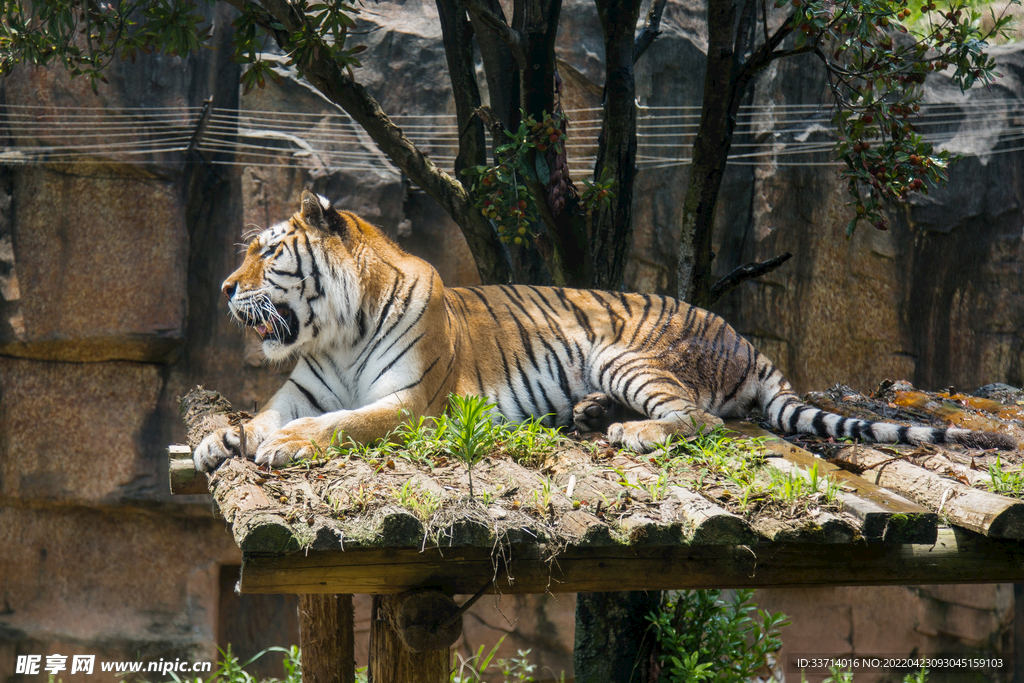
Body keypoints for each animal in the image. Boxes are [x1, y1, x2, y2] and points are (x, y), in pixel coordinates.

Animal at [192, 191, 1017, 473]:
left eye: (266, 252)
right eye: (245, 252)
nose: (224, 287)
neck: (334, 330)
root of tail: (748, 341)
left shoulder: (414, 404)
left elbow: (344, 423)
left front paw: (284, 445)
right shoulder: (301, 387)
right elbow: (263, 412)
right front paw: (218, 438)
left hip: (625, 350)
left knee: (702, 420)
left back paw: (630, 430)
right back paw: (591, 412)